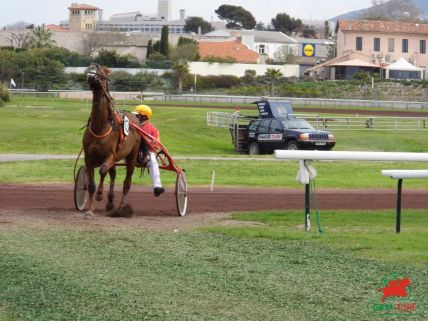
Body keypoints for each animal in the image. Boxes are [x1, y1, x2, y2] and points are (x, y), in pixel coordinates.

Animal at [84, 63, 142, 216]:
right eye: (90, 67)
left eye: (102, 72)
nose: (92, 72)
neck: (100, 128)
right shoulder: (88, 157)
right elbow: (91, 184)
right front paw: (90, 209)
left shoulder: (109, 155)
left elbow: (103, 170)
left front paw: (99, 194)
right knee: (114, 174)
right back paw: (110, 202)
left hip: (132, 157)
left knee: (127, 182)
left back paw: (121, 207)